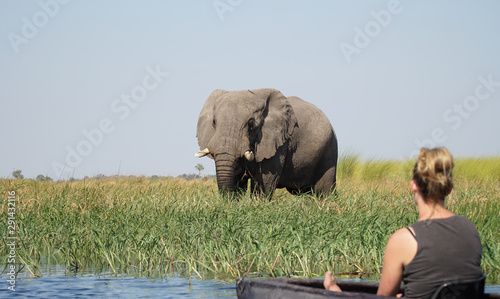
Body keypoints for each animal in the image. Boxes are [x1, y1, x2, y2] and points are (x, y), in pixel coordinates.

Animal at [195, 88, 340, 198]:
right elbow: (236, 177)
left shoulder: (278, 142)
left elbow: (264, 181)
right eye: (214, 122)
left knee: (324, 190)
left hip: (330, 147)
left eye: (251, 123)